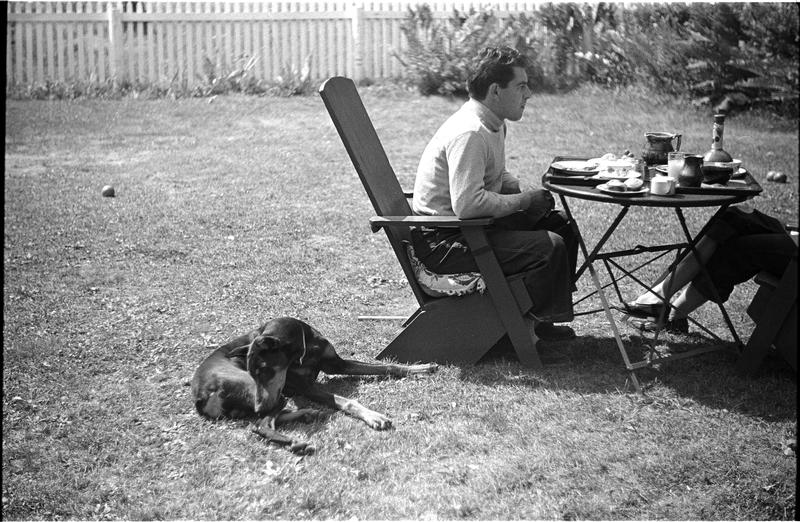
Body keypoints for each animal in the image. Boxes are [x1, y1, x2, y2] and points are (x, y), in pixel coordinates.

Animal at [191, 317, 437, 452]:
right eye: (253, 373)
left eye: (264, 370)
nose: (258, 406)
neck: (305, 348)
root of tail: (202, 396)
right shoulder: (304, 386)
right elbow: (347, 401)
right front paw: (373, 416)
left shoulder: (336, 363)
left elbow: (386, 367)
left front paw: (421, 368)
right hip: (270, 394)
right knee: (260, 425)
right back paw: (295, 442)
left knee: (268, 419)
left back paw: (308, 414)